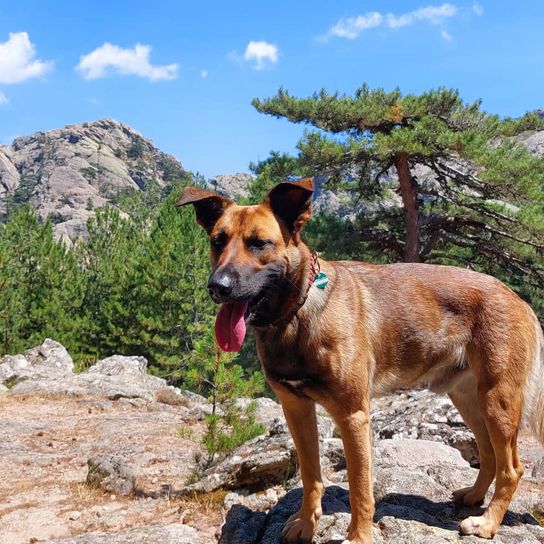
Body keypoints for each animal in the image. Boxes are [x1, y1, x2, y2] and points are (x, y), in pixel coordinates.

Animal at [177, 178, 544, 544]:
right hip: (467, 398)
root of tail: (519, 300)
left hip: (497, 400)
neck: (297, 314)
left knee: (512, 467)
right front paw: (306, 524)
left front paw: (358, 537)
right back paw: (473, 497)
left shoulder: (353, 416)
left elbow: (360, 488)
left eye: (258, 243)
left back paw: (487, 523)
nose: (217, 286)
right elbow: (311, 477)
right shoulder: (296, 409)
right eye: (217, 241)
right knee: (489, 455)